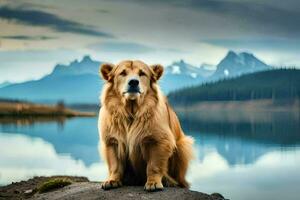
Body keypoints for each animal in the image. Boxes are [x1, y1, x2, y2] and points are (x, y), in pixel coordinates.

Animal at [97, 60, 193, 191]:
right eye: (123, 73)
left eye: (142, 73)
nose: (133, 82)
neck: (131, 112)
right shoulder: (112, 141)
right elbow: (115, 164)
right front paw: (112, 180)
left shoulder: (158, 141)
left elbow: (154, 165)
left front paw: (153, 182)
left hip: (183, 144)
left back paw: (171, 182)